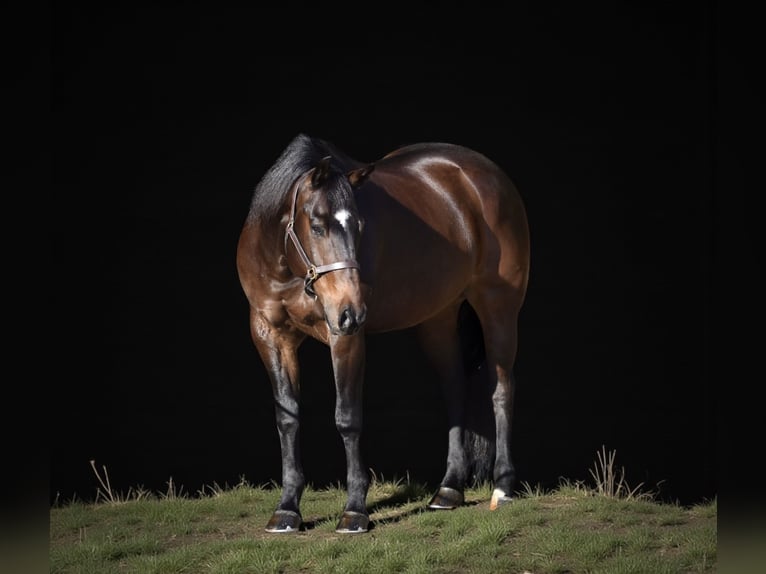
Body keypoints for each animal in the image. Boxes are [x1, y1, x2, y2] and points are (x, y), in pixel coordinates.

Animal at [236, 134, 530, 533]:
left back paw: (503, 486)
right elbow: (287, 417)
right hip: (437, 319)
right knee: (456, 388)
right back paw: (448, 490)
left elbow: (347, 418)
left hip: (498, 307)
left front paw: (355, 511)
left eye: (360, 225)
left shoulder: (344, 337)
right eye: (317, 225)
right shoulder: (269, 336)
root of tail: (487, 175)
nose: (353, 311)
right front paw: (286, 510)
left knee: (500, 389)